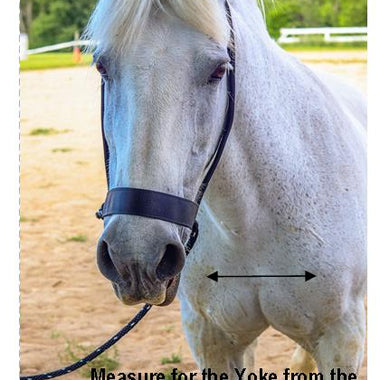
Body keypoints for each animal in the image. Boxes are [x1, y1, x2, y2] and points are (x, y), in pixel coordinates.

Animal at [85, 0, 366, 376]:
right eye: (102, 66)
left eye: (219, 70)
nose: (136, 258)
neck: (250, 224)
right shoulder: (211, 338)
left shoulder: (341, 338)